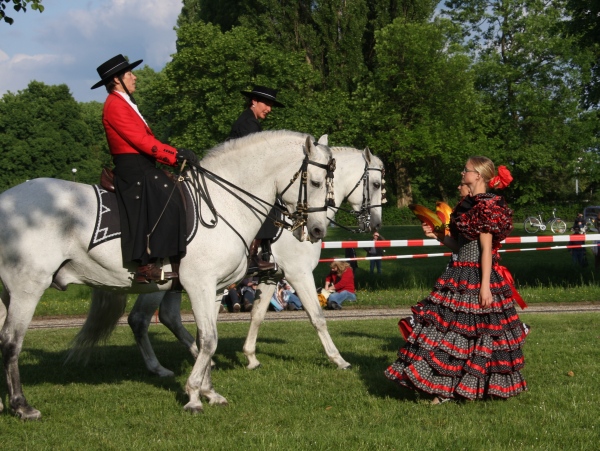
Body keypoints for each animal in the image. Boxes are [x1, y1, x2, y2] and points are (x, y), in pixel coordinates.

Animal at [0, 131, 332, 420]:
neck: (224, 204)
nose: (317, 230)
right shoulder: (201, 284)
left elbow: (206, 338)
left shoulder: (213, 289)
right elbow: (209, 339)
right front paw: (194, 396)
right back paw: (21, 406)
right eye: (316, 182)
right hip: (27, 287)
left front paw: (209, 392)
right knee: (11, 341)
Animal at [126, 147, 384, 376]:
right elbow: (317, 317)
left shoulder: (272, 276)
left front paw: (250, 357)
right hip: (163, 283)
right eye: (376, 184)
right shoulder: (298, 273)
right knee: (141, 319)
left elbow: (257, 314)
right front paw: (338, 359)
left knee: (166, 317)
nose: (376, 224)